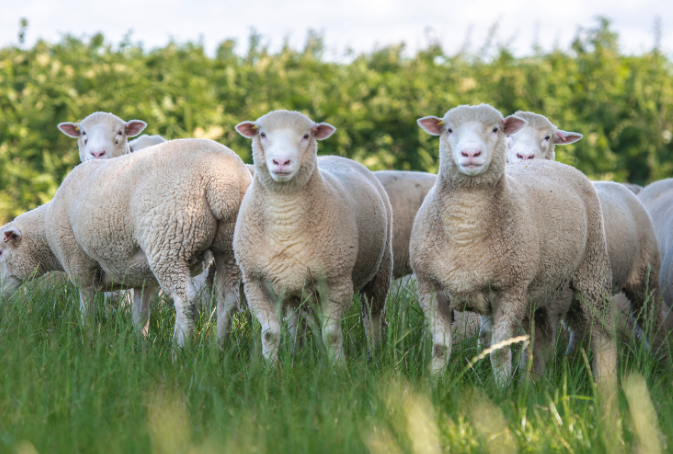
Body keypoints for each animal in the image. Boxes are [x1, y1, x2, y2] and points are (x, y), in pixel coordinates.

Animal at [0, 140, 252, 346]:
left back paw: (180, 349)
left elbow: (87, 306)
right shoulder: (143, 278)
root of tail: (222, 182)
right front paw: (140, 344)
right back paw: (218, 348)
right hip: (228, 247)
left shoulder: (80, 264)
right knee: (228, 301)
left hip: (169, 241)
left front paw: (87, 335)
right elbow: (140, 314)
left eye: (1, 252)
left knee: (186, 300)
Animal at [232, 110, 394, 362]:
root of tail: (337, 156)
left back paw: (374, 356)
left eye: (306, 135)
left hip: (381, 270)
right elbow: (270, 333)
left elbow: (331, 334)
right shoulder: (255, 282)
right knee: (296, 322)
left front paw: (338, 367)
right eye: (262, 134)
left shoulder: (337, 282)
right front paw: (269, 368)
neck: (285, 222)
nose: (281, 162)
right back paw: (295, 354)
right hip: (293, 284)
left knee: (374, 318)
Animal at [406, 103, 616, 384]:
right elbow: (442, 348)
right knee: (542, 338)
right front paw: (435, 384)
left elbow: (500, 351)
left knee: (602, 331)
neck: (465, 232)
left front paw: (502, 388)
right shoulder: (430, 288)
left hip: (592, 270)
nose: (470, 152)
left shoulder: (510, 291)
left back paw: (605, 382)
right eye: (448, 129)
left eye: (496, 129)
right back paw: (534, 382)